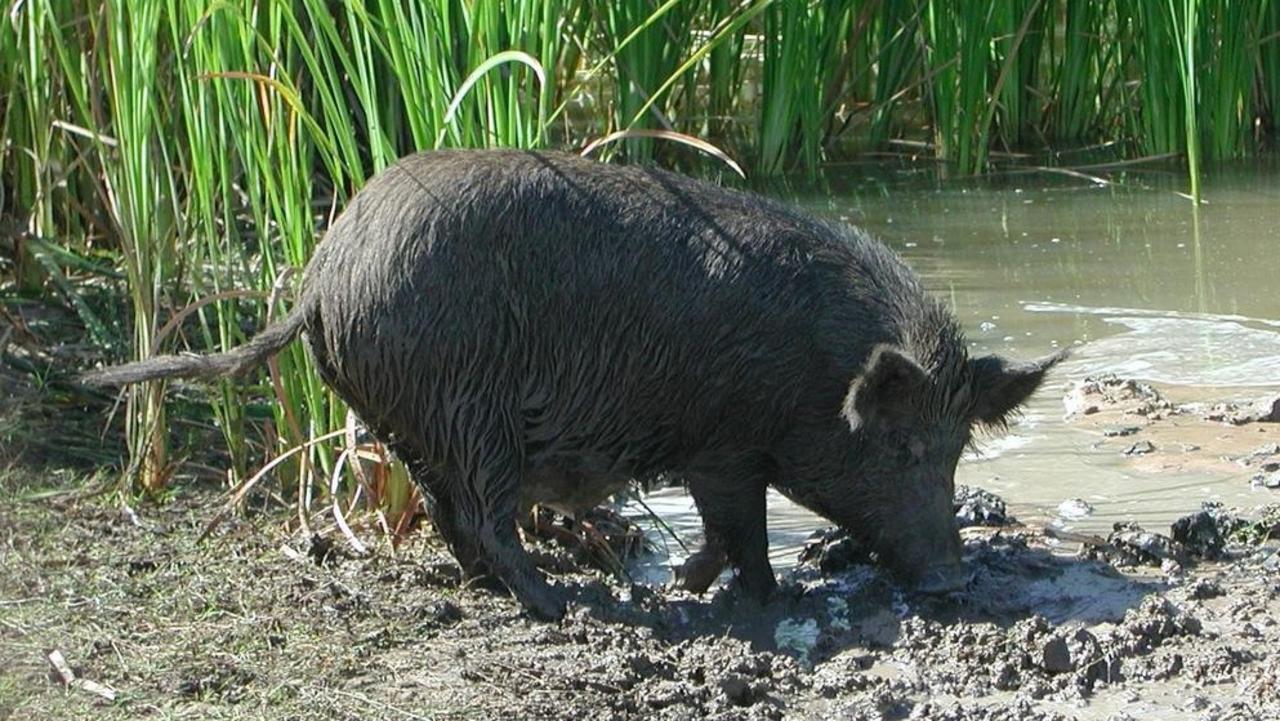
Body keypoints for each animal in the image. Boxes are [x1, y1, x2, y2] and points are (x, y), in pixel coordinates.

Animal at [87, 147, 1059, 619]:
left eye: (957, 449)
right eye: (901, 445)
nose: (952, 583)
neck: (814, 373)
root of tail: (323, 278)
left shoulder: (721, 451)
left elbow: (726, 530)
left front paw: (688, 584)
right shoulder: (725, 445)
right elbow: (741, 530)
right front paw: (746, 596)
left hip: (415, 419)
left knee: (449, 512)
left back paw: (505, 591)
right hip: (467, 402)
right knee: (483, 511)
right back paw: (556, 605)